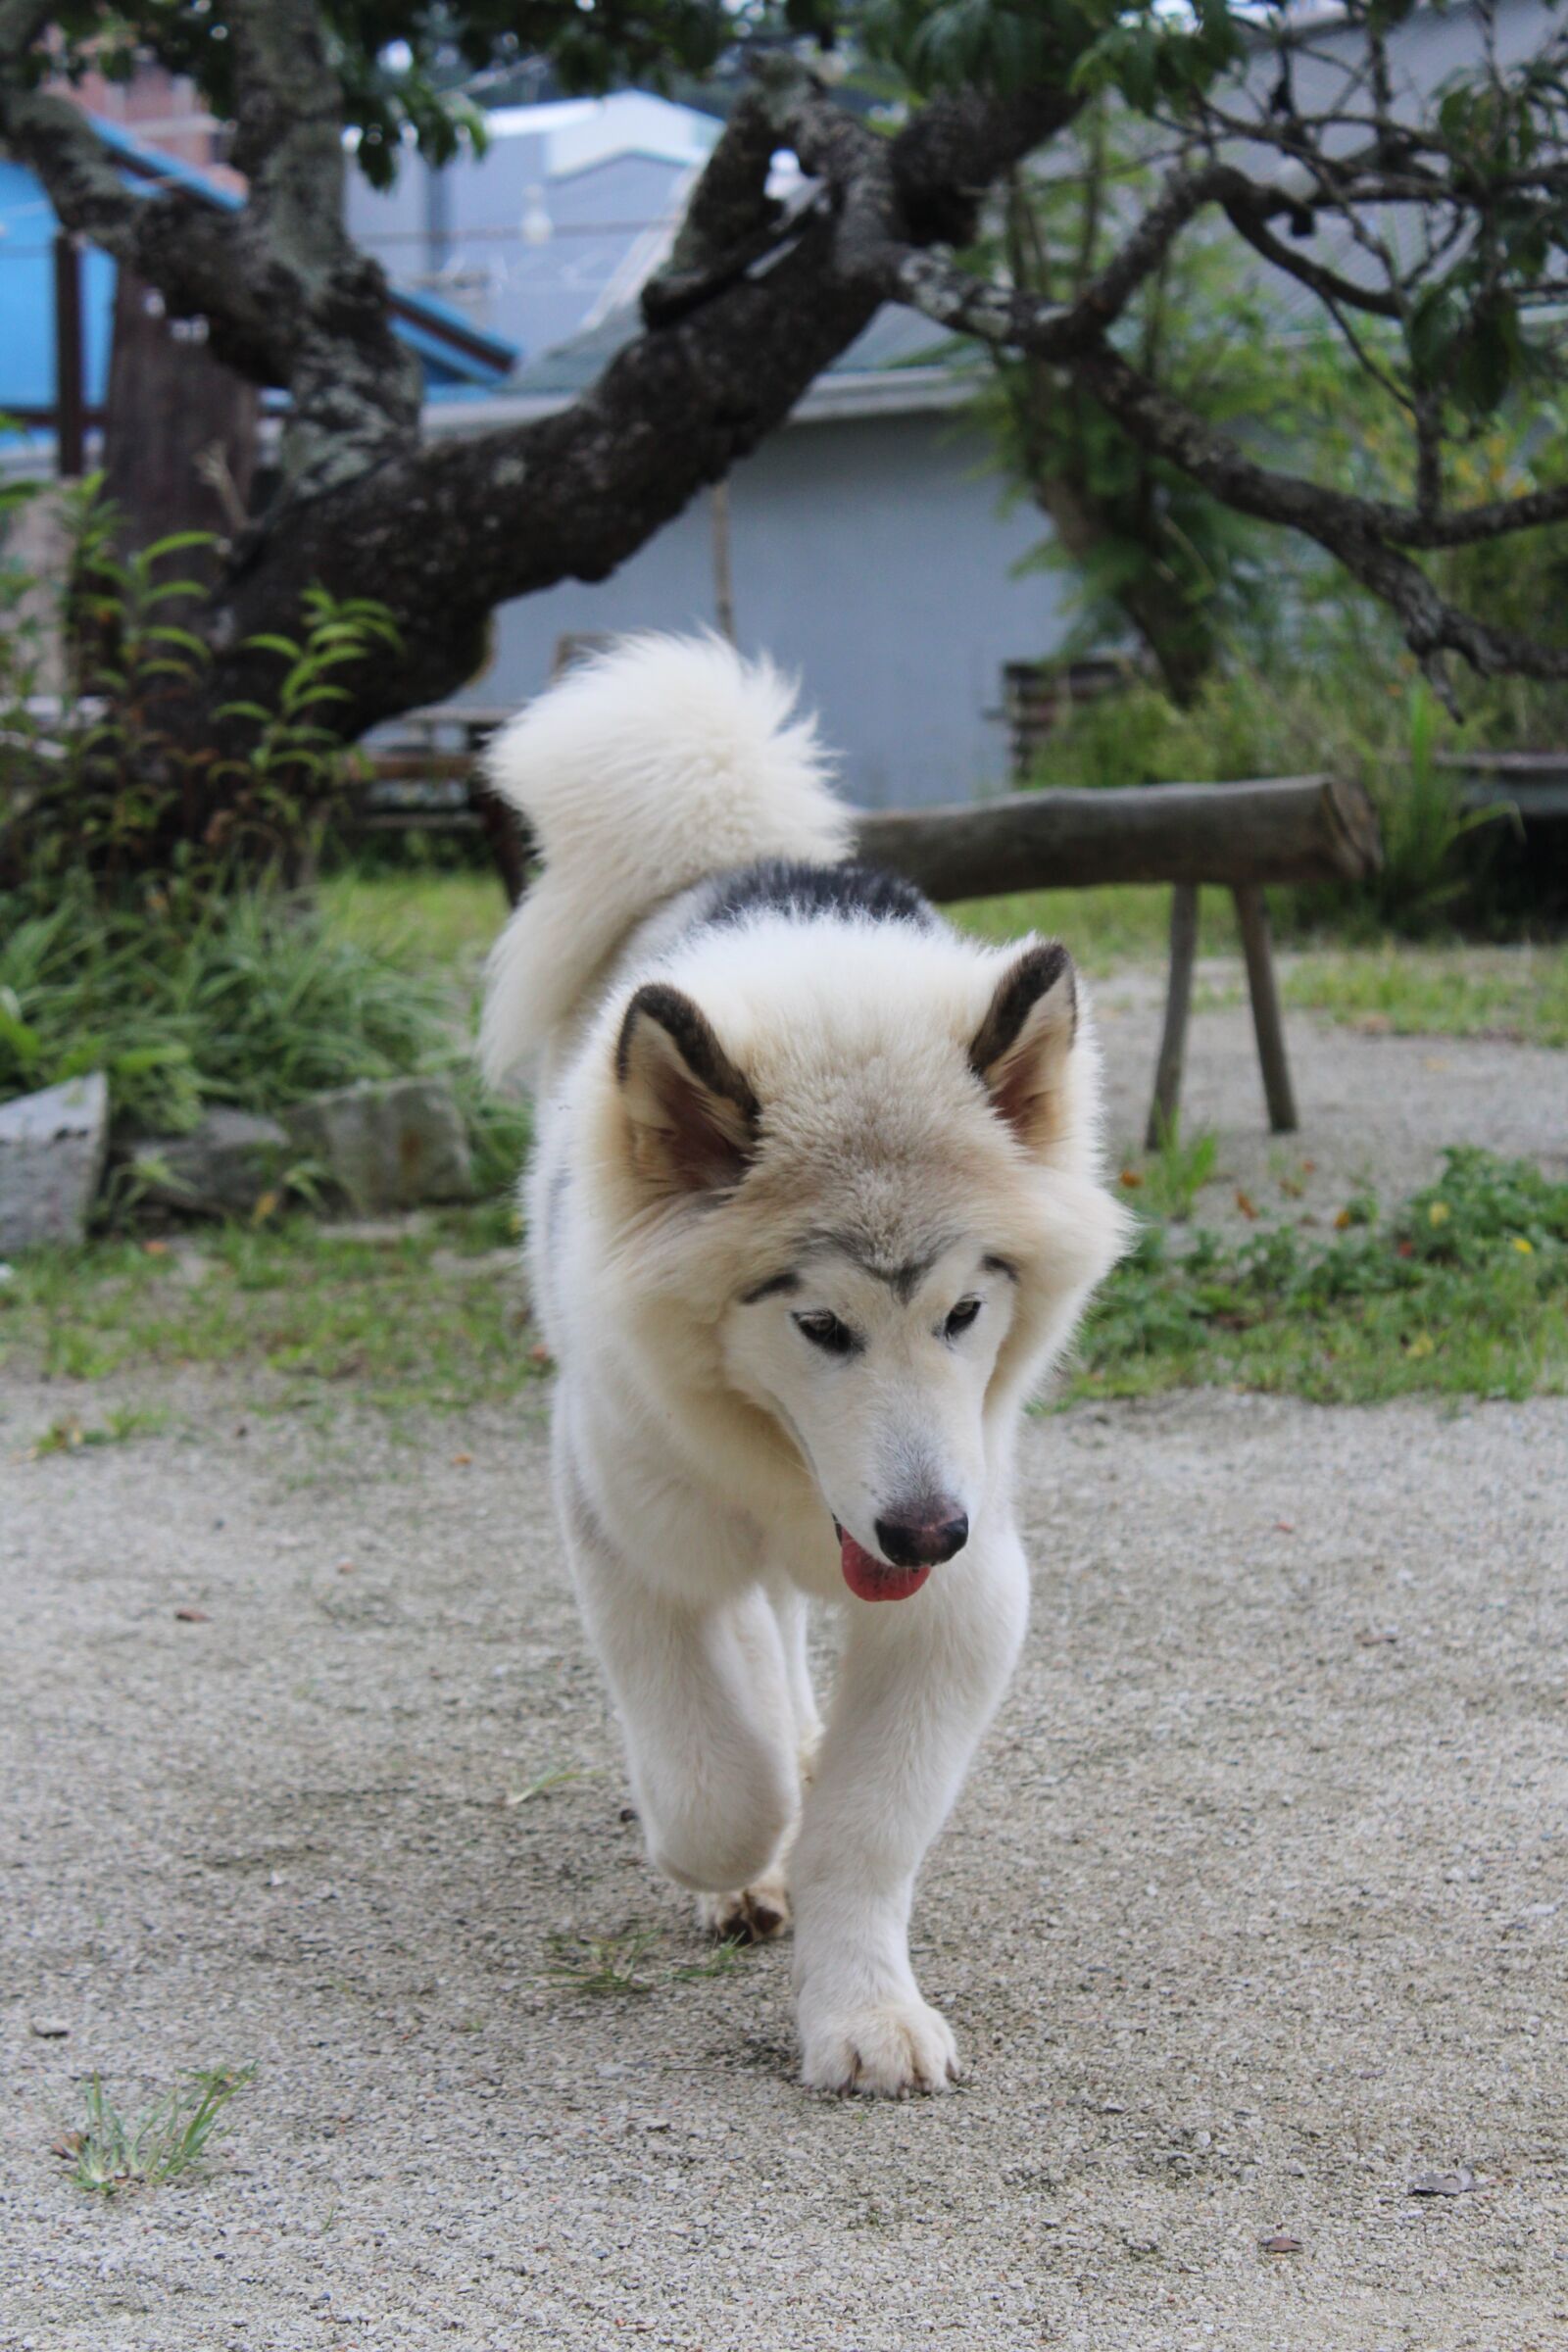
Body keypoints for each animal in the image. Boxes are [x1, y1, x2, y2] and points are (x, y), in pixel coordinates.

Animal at [481, 630, 1128, 2097]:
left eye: (965, 1311)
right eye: (818, 1325)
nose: (925, 1527)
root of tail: (740, 850)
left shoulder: (968, 1600)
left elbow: (864, 1827)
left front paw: (864, 2015)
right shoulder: (628, 1537)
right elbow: (716, 1783)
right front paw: (738, 1862)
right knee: (756, 1656)